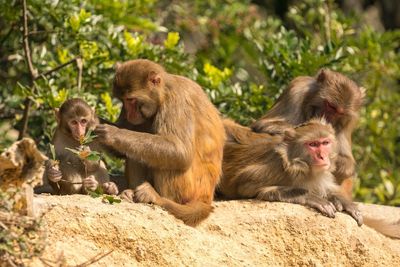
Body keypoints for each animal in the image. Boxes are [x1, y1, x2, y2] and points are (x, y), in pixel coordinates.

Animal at [94, 59, 225, 227]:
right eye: (123, 101)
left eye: (131, 100)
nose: (129, 114)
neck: (164, 92)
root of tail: (206, 197)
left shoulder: (177, 100)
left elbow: (180, 151)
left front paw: (112, 133)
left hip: (188, 189)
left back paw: (158, 199)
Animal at [219, 118, 362, 225]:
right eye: (313, 144)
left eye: (325, 143)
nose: (322, 156)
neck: (303, 168)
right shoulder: (276, 168)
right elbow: (245, 186)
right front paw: (310, 197)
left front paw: (342, 200)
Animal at [253, 69, 366, 199]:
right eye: (330, 106)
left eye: (340, 113)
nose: (327, 118)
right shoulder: (296, 90)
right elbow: (264, 126)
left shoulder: (349, 121)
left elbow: (347, 165)